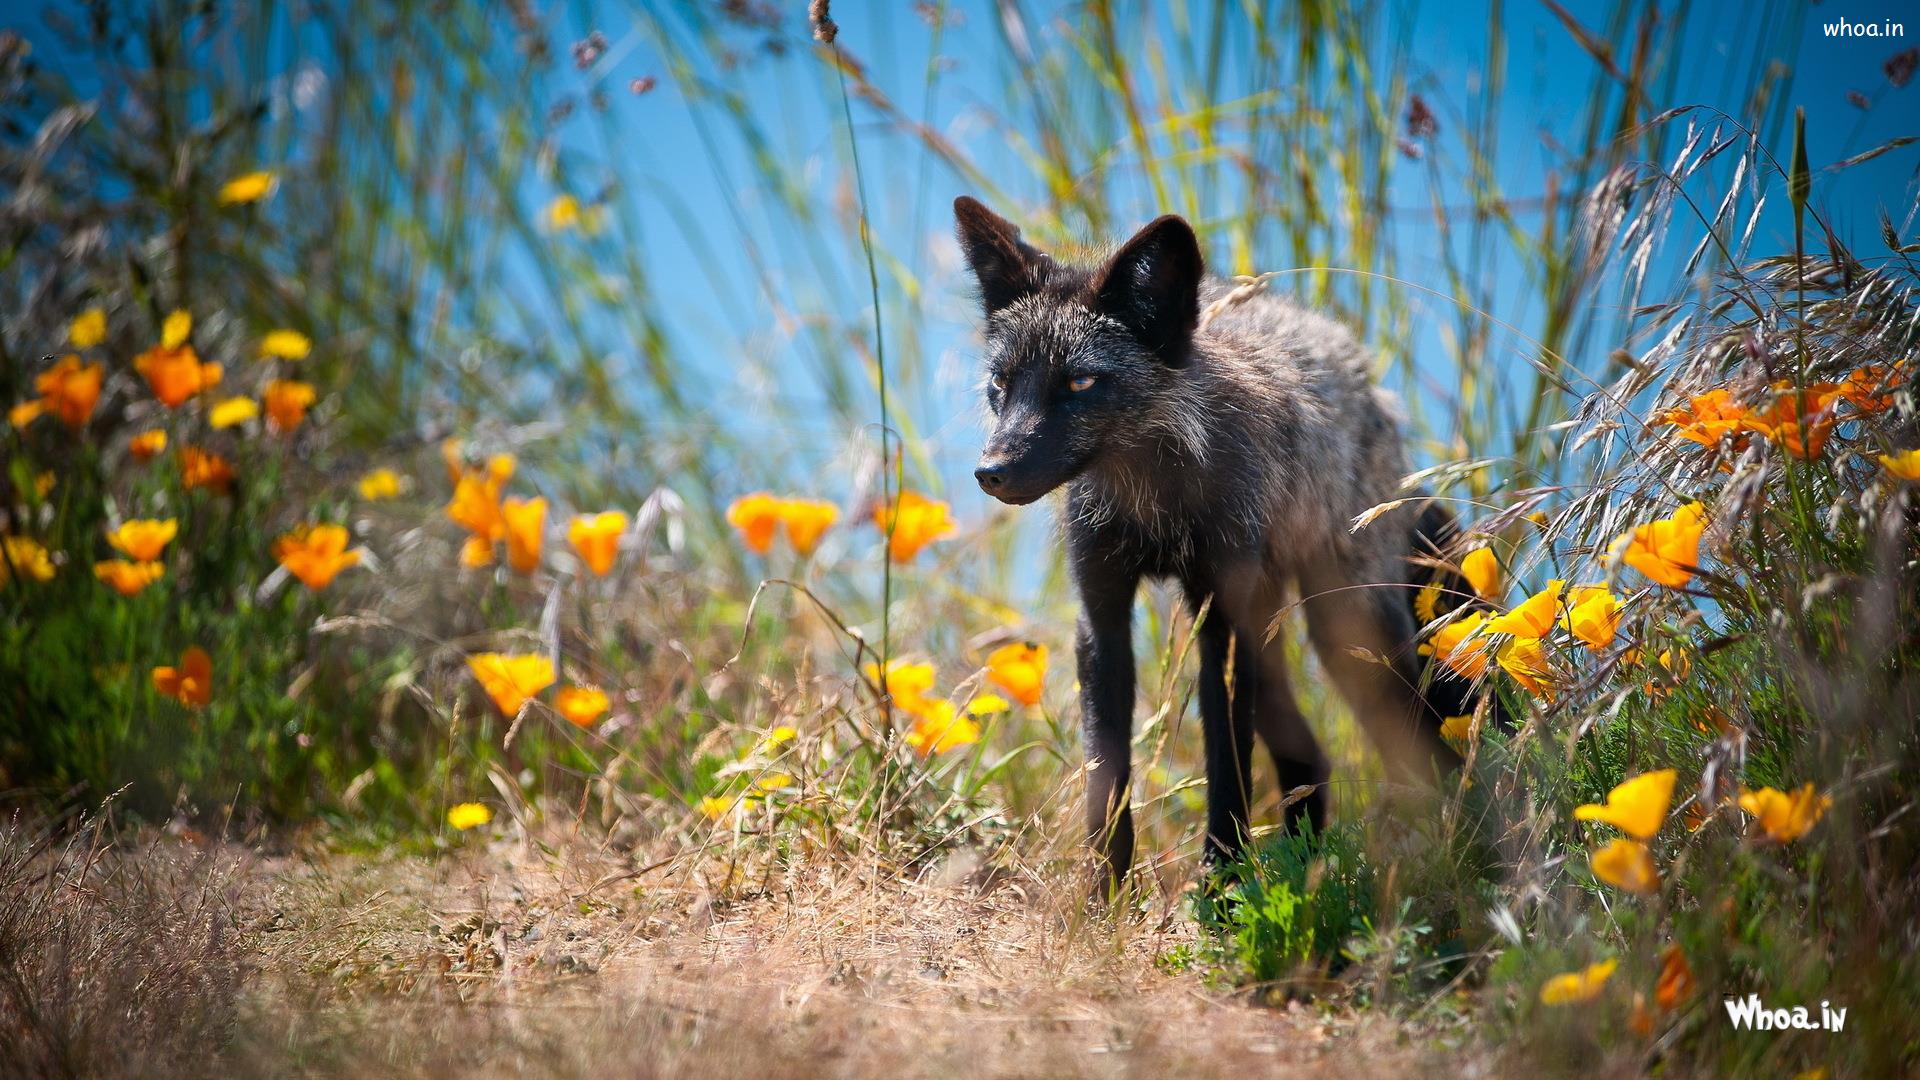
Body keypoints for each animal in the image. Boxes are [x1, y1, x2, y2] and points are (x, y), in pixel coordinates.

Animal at [953, 196, 1480, 887]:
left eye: (1080, 384)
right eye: (1001, 383)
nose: (991, 472)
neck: (1155, 508)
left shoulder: (1222, 627)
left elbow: (1227, 766)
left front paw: (1223, 885)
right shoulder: (1102, 621)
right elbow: (1106, 778)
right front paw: (1104, 896)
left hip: (1346, 634)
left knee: (1427, 751)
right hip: (1281, 633)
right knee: (1311, 760)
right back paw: (1310, 865)